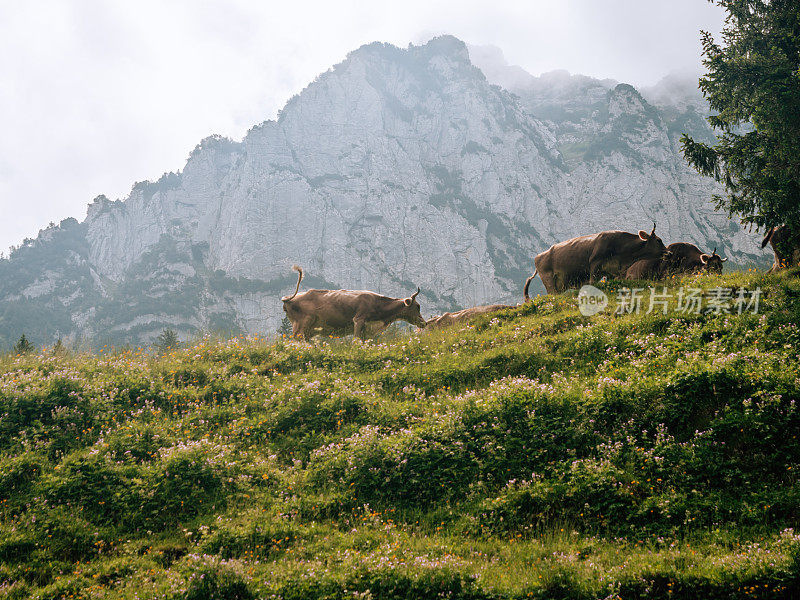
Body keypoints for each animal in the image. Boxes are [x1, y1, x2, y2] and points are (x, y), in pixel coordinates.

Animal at [282, 264, 428, 340]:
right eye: (417, 306)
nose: (424, 323)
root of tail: (289, 298)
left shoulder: (366, 331)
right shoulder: (358, 320)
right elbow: (356, 340)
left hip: (308, 330)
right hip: (301, 325)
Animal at [524, 224, 668, 294]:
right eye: (658, 240)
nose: (669, 252)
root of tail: (538, 256)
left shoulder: (612, 272)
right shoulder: (594, 264)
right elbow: (592, 283)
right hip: (548, 280)